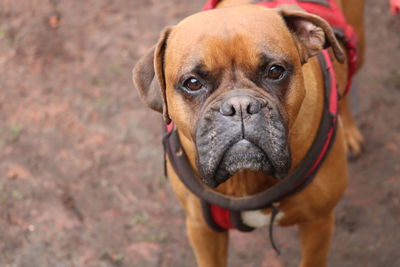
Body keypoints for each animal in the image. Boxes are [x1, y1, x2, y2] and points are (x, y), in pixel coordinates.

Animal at [133, 1, 364, 266]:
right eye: (192, 83)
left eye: (275, 71)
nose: (240, 106)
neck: (245, 177)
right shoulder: (202, 230)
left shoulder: (318, 223)